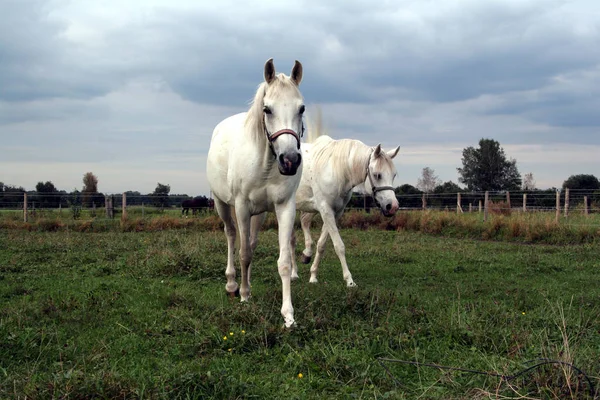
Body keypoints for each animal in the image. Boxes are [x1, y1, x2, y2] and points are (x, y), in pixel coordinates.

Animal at [209, 59, 308, 328]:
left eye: (302, 108)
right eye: (267, 109)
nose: (290, 161)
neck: (265, 163)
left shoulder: (284, 207)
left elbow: (283, 262)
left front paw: (288, 315)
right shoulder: (242, 206)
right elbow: (243, 253)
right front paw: (243, 295)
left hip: (259, 213)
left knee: (250, 242)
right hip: (222, 204)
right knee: (232, 236)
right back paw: (233, 283)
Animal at [251, 110, 400, 288]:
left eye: (394, 175)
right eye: (377, 175)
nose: (392, 206)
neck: (337, 170)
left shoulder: (335, 212)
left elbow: (322, 245)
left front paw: (313, 275)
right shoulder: (325, 209)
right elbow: (339, 245)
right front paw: (349, 280)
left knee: (301, 228)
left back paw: (303, 258)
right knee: (290, 240)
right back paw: (294, 273)